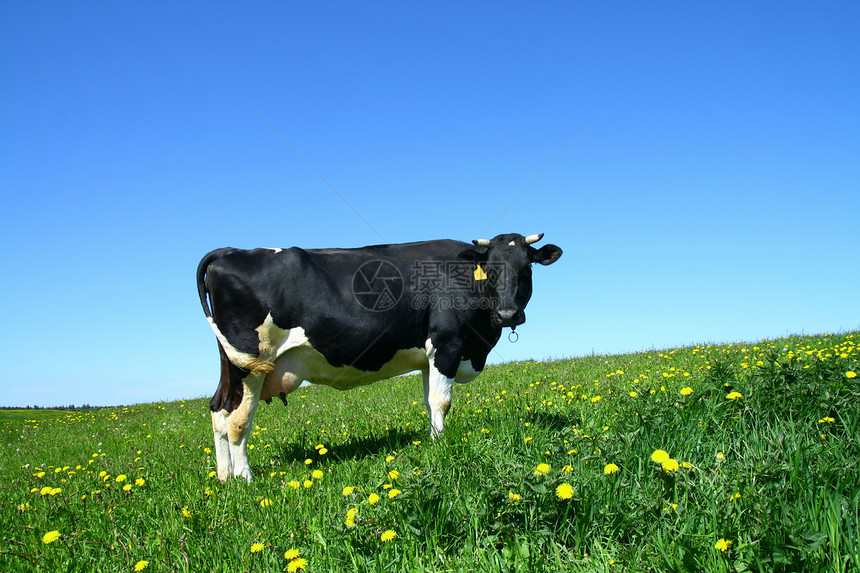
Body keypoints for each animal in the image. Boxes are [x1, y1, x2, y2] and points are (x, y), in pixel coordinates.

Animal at [199, 233, 564, 482]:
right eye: (491, 270)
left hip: (231, 363)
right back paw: (245, 478)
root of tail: (227, 253)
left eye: (527, 268)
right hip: (251, 362)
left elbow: (430, 402)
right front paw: (442, 447)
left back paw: (224, 477)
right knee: (238, 420)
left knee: (219, 409)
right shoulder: (447, 345)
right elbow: (442, 401)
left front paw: (433, 441)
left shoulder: (429, 357)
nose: (508, 314)